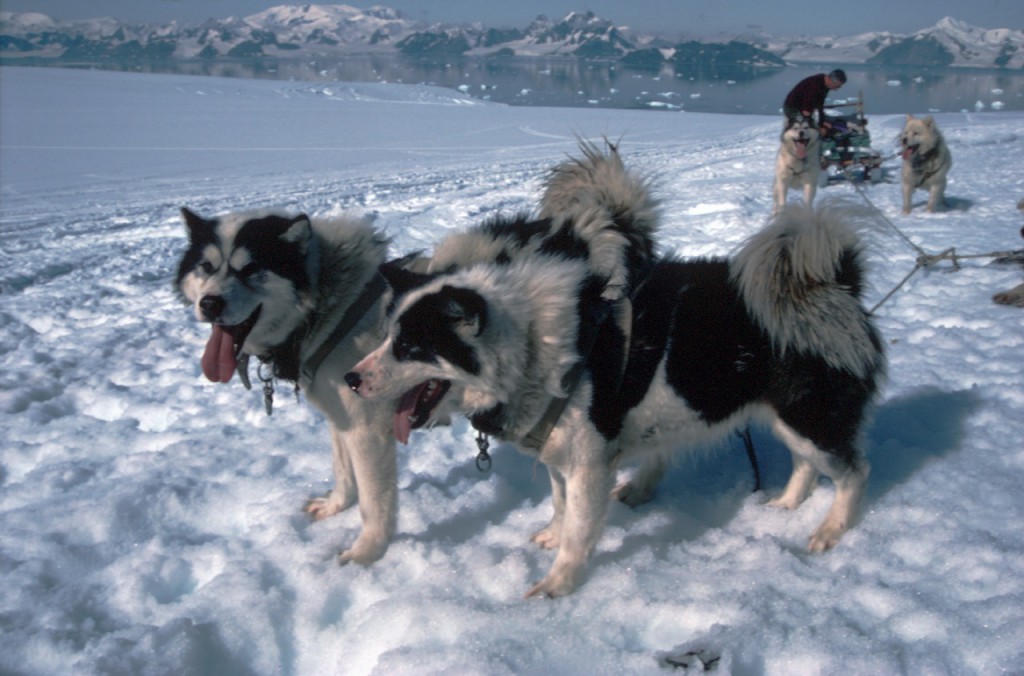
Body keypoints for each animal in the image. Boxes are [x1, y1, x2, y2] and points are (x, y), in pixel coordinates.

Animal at [176, 206, 399, 565]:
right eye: (206, 266)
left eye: (251, 268)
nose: (209, 304)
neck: (328, 310)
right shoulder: (340, 418)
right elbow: (343, 472)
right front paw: (335, 506)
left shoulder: (368, 429)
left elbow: (373, 502)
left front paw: (365, 555)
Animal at [348, 200, 884, 598]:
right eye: (387, 335)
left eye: (409, 346)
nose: (352, 378)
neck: (532, 344)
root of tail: (835, 286)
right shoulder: (559, 454)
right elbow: (561, 506)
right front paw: (552, 533)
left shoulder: (590, 464)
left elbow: (579, 532)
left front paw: (558, 585)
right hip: (786, 417)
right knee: (806, 464)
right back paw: (789, 504)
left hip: (808, 416)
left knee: (854, 472)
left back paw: (831, 530)